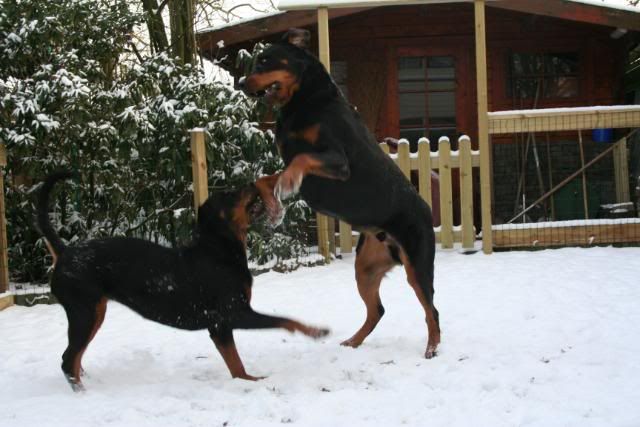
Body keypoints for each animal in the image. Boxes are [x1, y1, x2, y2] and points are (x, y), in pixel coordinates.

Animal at [38, 172, 330, 392]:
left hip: (94, 312)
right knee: (67, 360)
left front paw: (248, 380)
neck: (218, 248)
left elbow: (236, 364)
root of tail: (65, 252)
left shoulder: (220, 327)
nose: (251, 183)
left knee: (74, 357)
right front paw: (315, 331)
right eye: (229, 195)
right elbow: (284, 321)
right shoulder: (233, 315)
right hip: (85, 312)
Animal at [239, 28, 440, 360]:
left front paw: (286, 186)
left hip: (417, 264)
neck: (304, 100)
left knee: (430, 309)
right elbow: (264, 179)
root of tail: (427, 212)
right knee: (377, 310)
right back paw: (354, 341)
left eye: (266, 60)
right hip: (366, 267)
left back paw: (432, 347)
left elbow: (299, 161)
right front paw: (274, 206)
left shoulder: (337, 160)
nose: (241, 83)